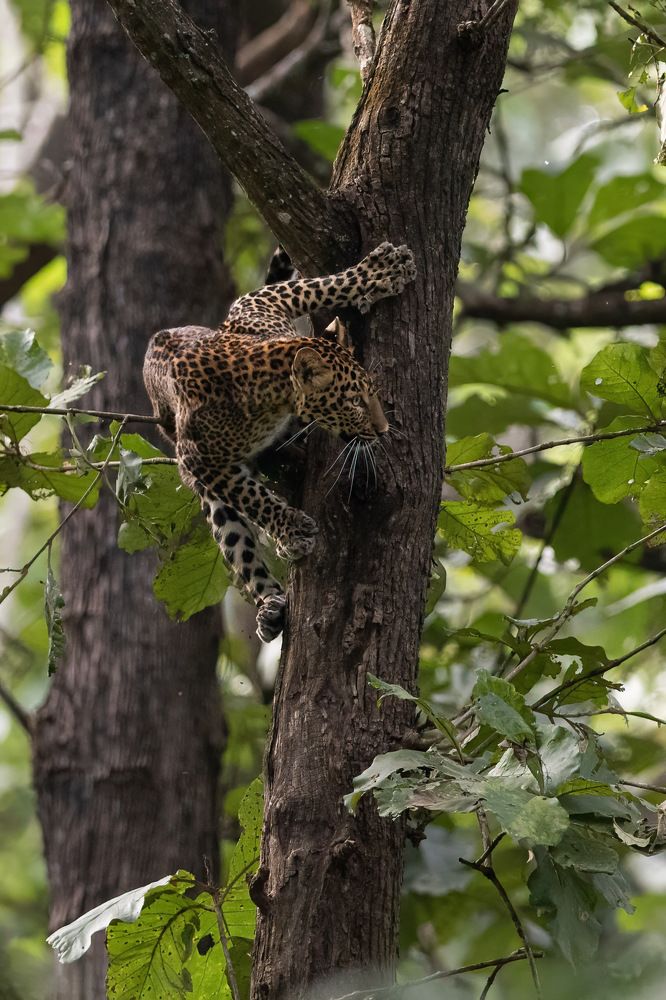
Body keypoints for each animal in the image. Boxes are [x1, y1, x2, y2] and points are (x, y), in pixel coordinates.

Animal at [143, 241, 416, 643]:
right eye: (354, 402)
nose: (383, 430)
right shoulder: (198, 459)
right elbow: (251, 497)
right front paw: (291, 528)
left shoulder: (258, 304)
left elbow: (318, 286)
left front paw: (379, 272)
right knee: (236, 537)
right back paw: (270, 604)